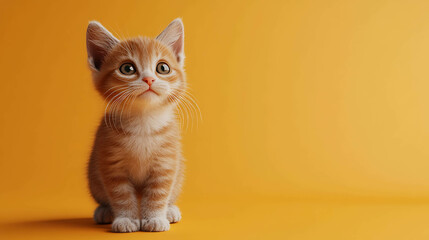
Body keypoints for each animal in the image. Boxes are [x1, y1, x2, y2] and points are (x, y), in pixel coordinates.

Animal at [86, 18, 186, 232]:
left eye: (163, 68)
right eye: (127, 69)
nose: (149, 79)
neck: (144, 122)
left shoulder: (166, 162)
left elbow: (158, 192)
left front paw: (155, 218)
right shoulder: (111, 162)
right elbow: (121, 195)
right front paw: (125, 219)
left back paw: (170, 210)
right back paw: (105, 211)